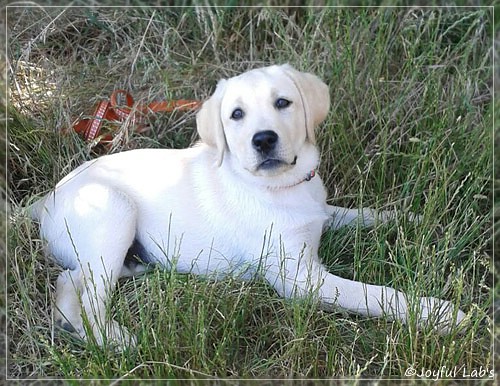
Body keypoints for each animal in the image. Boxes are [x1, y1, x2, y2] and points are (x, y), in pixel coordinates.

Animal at [30, 64, 464, 346]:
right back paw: (116, 340)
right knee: (87, 296)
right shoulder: (301, 280)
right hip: (113, 210)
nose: (264, 140)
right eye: (236, 114)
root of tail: (46, 200)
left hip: (116, 255)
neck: (280, 186)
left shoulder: (322, 213)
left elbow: (363, 215)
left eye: (283, 103)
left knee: (70, 284)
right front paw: (440, 314)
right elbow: (372, 294)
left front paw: (410, 217)